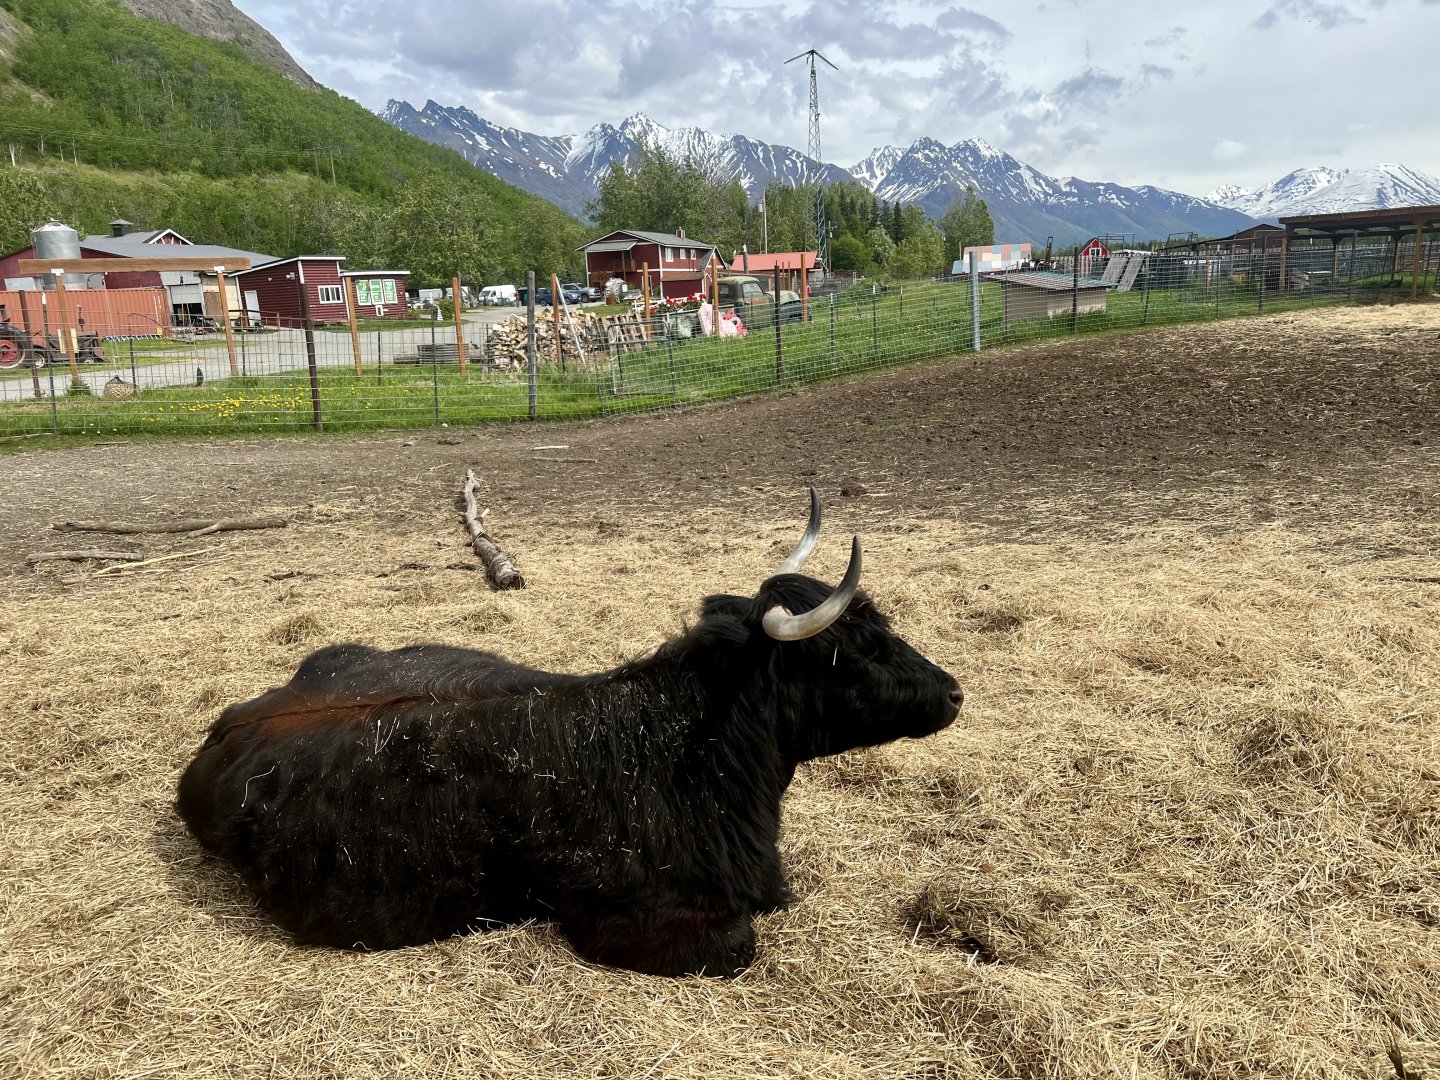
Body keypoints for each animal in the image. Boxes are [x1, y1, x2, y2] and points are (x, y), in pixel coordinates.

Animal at [175, 489, 962, 977]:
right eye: (851, 651)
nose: (954, 692)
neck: (687, 749)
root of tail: (228, 726)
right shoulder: (622, 917)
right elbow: (741, 944)